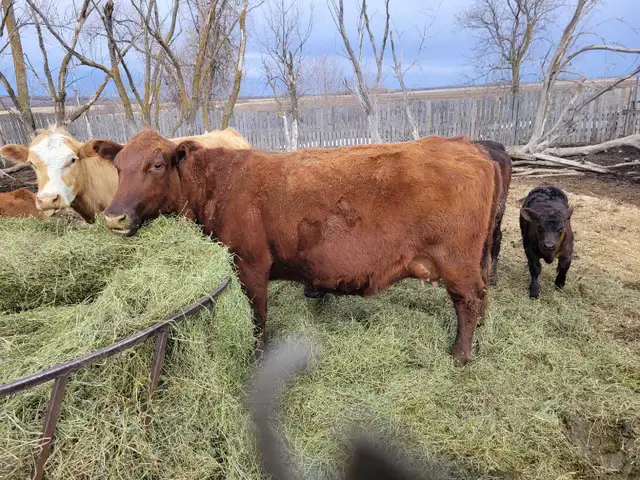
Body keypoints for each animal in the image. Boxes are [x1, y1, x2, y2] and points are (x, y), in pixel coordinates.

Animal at [86, 131, 501, 365]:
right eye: (119, 167)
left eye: (157, 164)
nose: (114, 217)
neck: (220, 183)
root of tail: (469, 148)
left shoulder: (250, 263)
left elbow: (257, 316)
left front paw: (256, 357)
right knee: (480, 296)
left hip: (456, 259)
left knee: (467, 299)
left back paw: (461, 354)